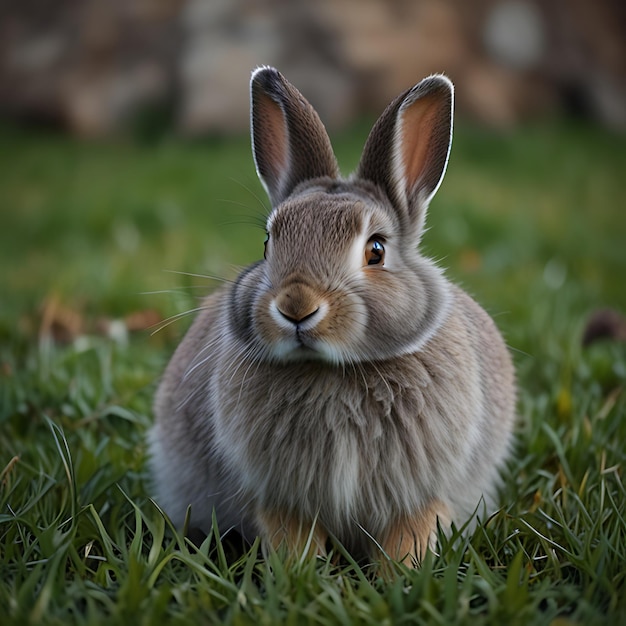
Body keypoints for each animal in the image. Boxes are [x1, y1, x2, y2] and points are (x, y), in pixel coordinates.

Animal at [149, 66, 516, 564]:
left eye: (376, 250)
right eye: (267, 244)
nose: (296, 307)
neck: (333, 370)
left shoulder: (419, 494)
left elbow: (409, 536)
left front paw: (402, 575)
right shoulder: (279, 496)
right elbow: (292, 536)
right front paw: (299, 573)